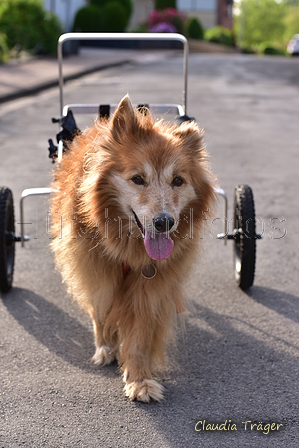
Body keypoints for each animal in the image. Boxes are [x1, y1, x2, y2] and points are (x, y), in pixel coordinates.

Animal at [50, 94, 217, 402]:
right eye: (138, 178)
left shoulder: (152, 283)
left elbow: (140, 332)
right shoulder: (94, 268)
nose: (164, 222)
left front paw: (139, 380)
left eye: (178, 180)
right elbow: (100, 310)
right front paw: (106, 346)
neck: (127, 245)